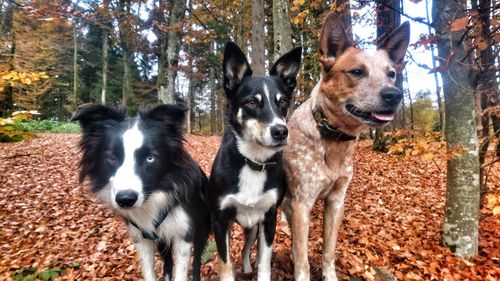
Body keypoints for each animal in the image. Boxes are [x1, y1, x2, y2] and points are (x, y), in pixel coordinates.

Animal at [72, 103, 209, 280]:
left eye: (150, 158)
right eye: (112, 158)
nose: (125, 199)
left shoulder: (183, 234)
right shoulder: (143, 237)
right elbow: (149, 270)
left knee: (197, 259)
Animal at [206, 42, 300, 280]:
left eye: (283, 102)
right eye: (251, 102)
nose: (281, 132)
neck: (253, 162)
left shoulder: (269, 217)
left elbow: (265, 261)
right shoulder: (220, 220)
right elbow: (225, 263)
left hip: (254, 228)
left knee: (247, 249)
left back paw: (249, 267)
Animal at [284, 11, 408, 280]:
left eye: (391, 73)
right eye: (357, 72)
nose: (394, 95)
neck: (333, 140)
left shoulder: (336, 200)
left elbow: (328, 250)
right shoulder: (301, 203)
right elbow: (303, 260)